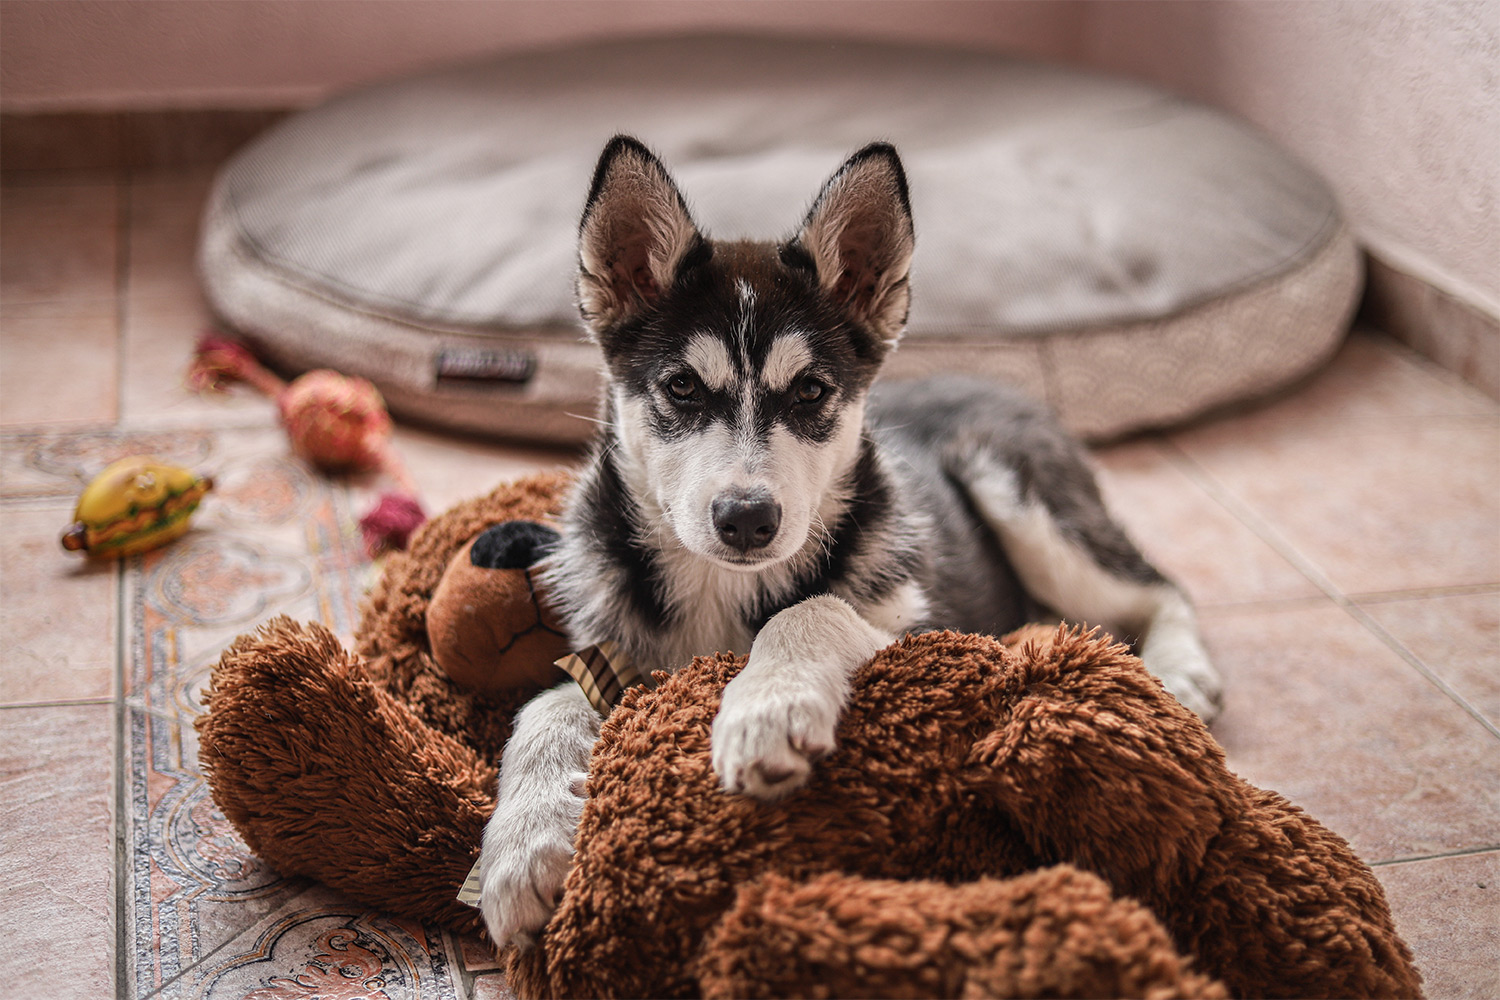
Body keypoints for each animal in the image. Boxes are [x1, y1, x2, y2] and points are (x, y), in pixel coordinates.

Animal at [477, 138, 1218, 947]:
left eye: (809, 391)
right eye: (680, 388)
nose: (747, 519)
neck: (719, 589)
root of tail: (1003, 385)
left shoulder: (925, 627)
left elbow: (812, 610)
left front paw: (767, 709)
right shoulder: (612, 646)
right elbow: (544, 703)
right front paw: (523, 843)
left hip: (1023, 496)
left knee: (1159, 584)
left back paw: (1180, 671)